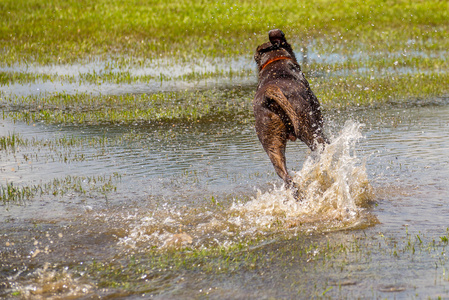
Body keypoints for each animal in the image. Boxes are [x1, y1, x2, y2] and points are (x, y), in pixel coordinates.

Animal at [252, 28, 326, 192]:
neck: (275, 61)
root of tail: (269, 93)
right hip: (311, 129)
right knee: (322, 148)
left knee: (286, 177)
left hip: (271, 141)